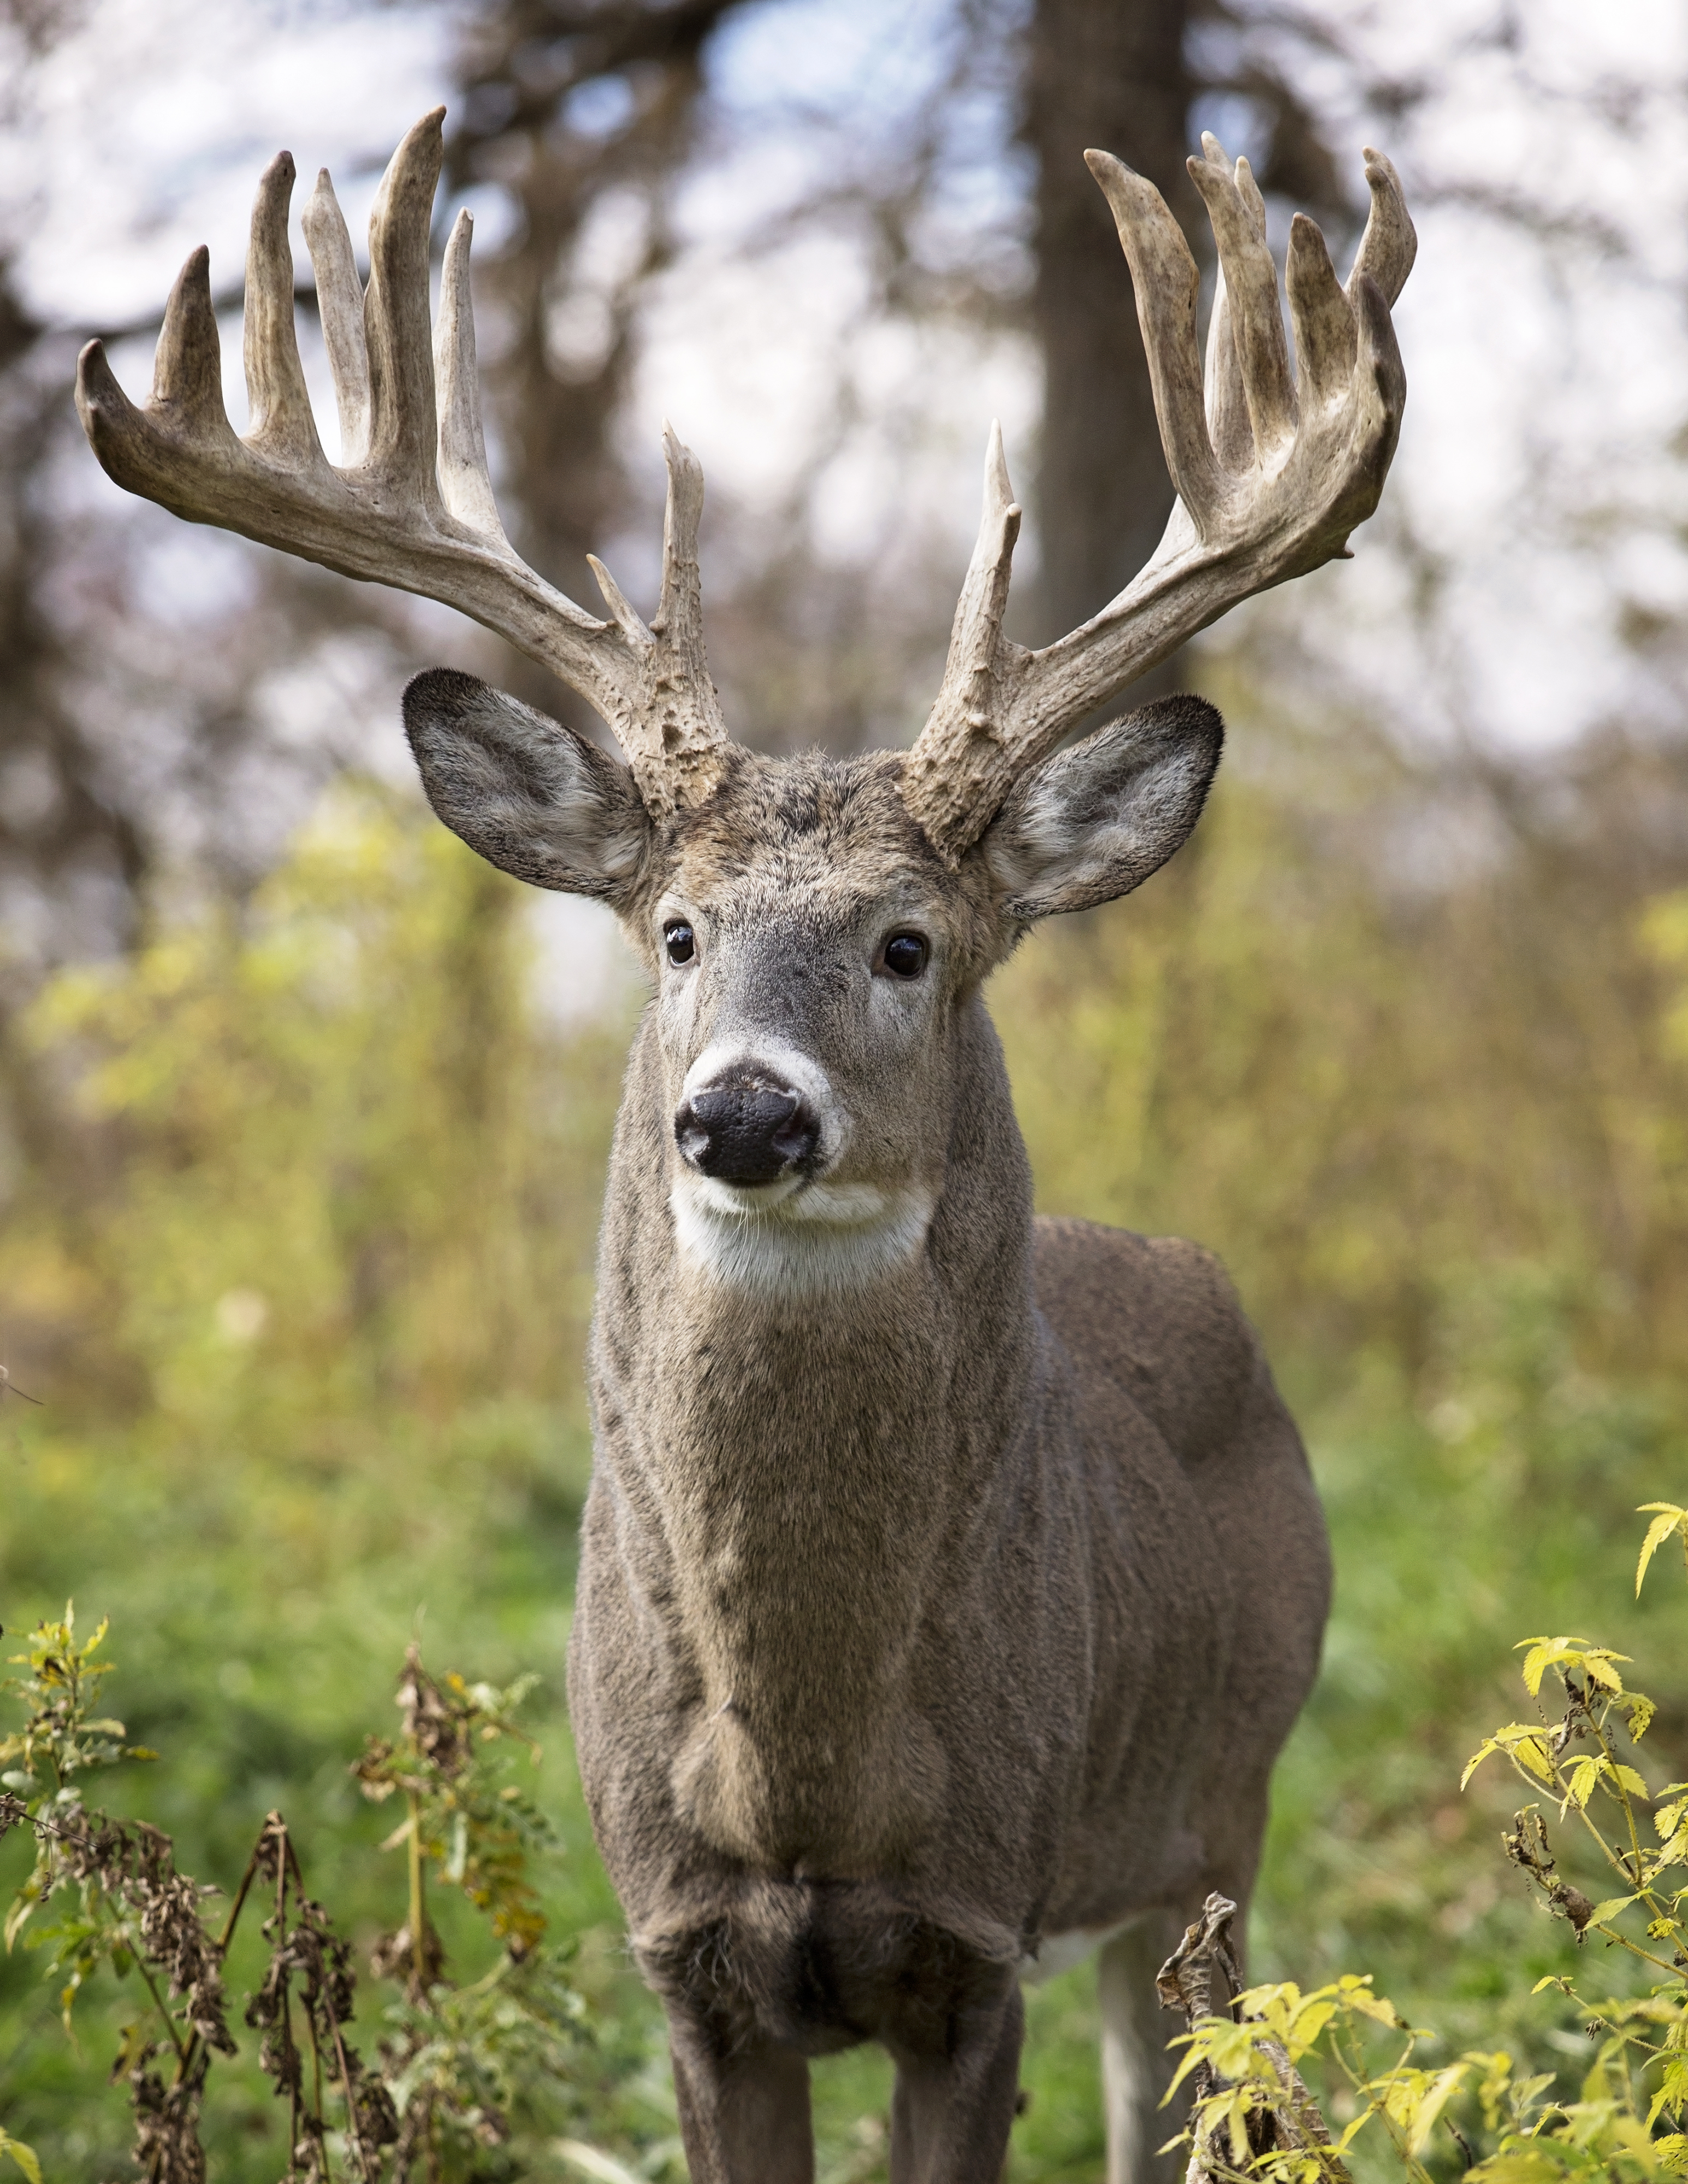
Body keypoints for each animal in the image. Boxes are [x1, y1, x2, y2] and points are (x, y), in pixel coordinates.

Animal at [76, 107, 1413, 2184]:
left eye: (909, 941)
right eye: (678, 933)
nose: (745, 1113)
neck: (808, 1775)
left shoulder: (979, 1939)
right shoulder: (684, 1954)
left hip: (1221, 1817)